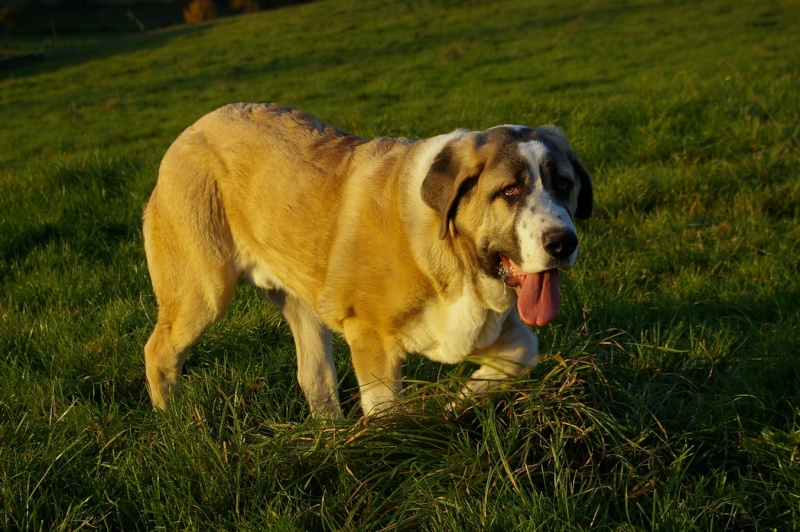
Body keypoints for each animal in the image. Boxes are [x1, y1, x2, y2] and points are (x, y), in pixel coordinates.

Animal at [144, 104, 592, 418]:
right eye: (509, 191)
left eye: (564, 184)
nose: (562, 243)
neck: (450, 255)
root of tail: (191, 130)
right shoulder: (371, 340)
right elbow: (387, 413)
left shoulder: (483, 328)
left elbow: (524, 350)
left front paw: (458, 401)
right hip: (203, 292)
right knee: (159, 350)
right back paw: (175, 420)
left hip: (301, 305)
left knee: (315, 377)